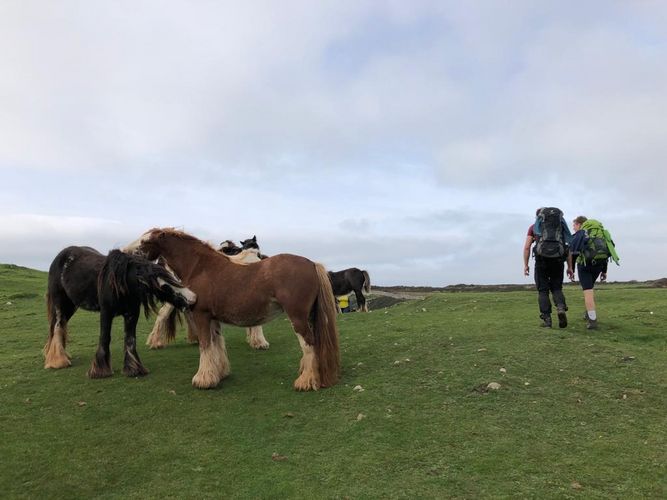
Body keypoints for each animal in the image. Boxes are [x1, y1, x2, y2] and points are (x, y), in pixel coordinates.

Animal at [43, 246, 196, 378]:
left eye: (176, 278)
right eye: (164, 286)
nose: (193, 299)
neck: (122, 283)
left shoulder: (132, 314)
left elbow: (130, 339)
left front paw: (134, 368)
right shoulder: (106, 313)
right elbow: (105, 337)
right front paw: (100, 370)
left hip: (71, 306)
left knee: (61, 326)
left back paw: (61, 355)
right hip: (59, 304)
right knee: (57, 326)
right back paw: (58, 361)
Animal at [125, 229, 342, 392]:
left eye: (144, 242)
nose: (125, 253)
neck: (201, 267)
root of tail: (312, 264)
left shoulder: (201, 315)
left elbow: (205, 345)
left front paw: (203, 379)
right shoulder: (212, 319)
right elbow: (216, 344)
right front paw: (219, 373)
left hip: (298, 318)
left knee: (309, 344)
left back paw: (306, 381)